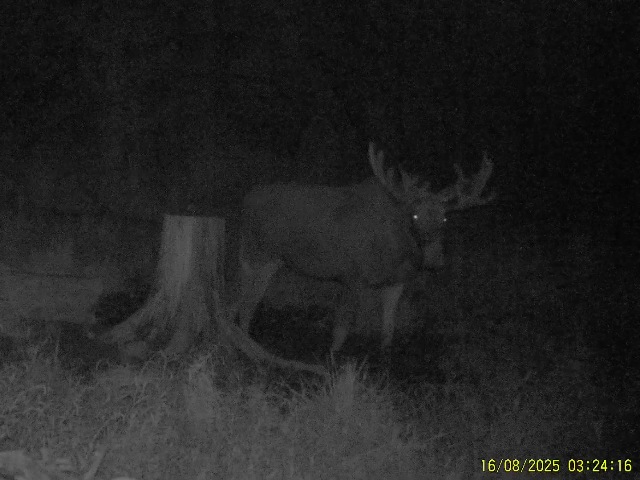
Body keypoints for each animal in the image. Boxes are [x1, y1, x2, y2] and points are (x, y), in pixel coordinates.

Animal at [237, 142, 494, 353]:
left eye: (445, 218)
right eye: (414, 215)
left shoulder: (396, 282)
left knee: (244, 299)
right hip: (256, 252)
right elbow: (341, 331)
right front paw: (332, 361)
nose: (434, 260)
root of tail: (246, 199)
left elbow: (388, 329)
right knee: (243, 299)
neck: (396, 252)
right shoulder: (351, 275)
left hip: (267, 260)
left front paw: (384, 361)